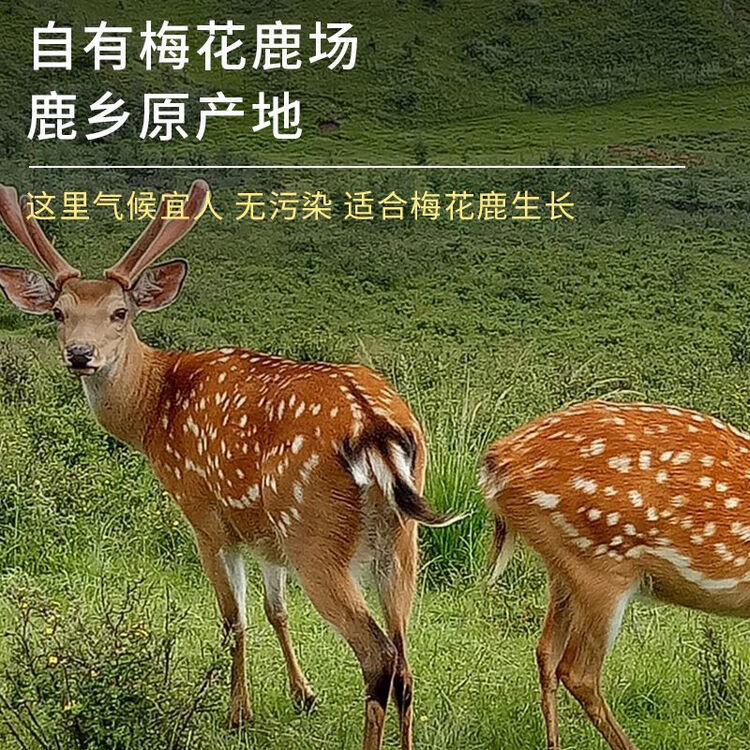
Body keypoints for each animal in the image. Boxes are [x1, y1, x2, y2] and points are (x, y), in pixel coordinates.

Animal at [0, 180, 461, 750]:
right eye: (59, 313)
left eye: (120, 312)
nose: (80, 354)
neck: (153, 413)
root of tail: (374, 427)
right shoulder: (265, 534)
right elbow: (275, 609)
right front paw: (303, 695)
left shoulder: (207, 518)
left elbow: (232, 619)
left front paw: (236, 713)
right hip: (399, 542)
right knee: (405, 662)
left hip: (314, 533)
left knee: (379, 657)